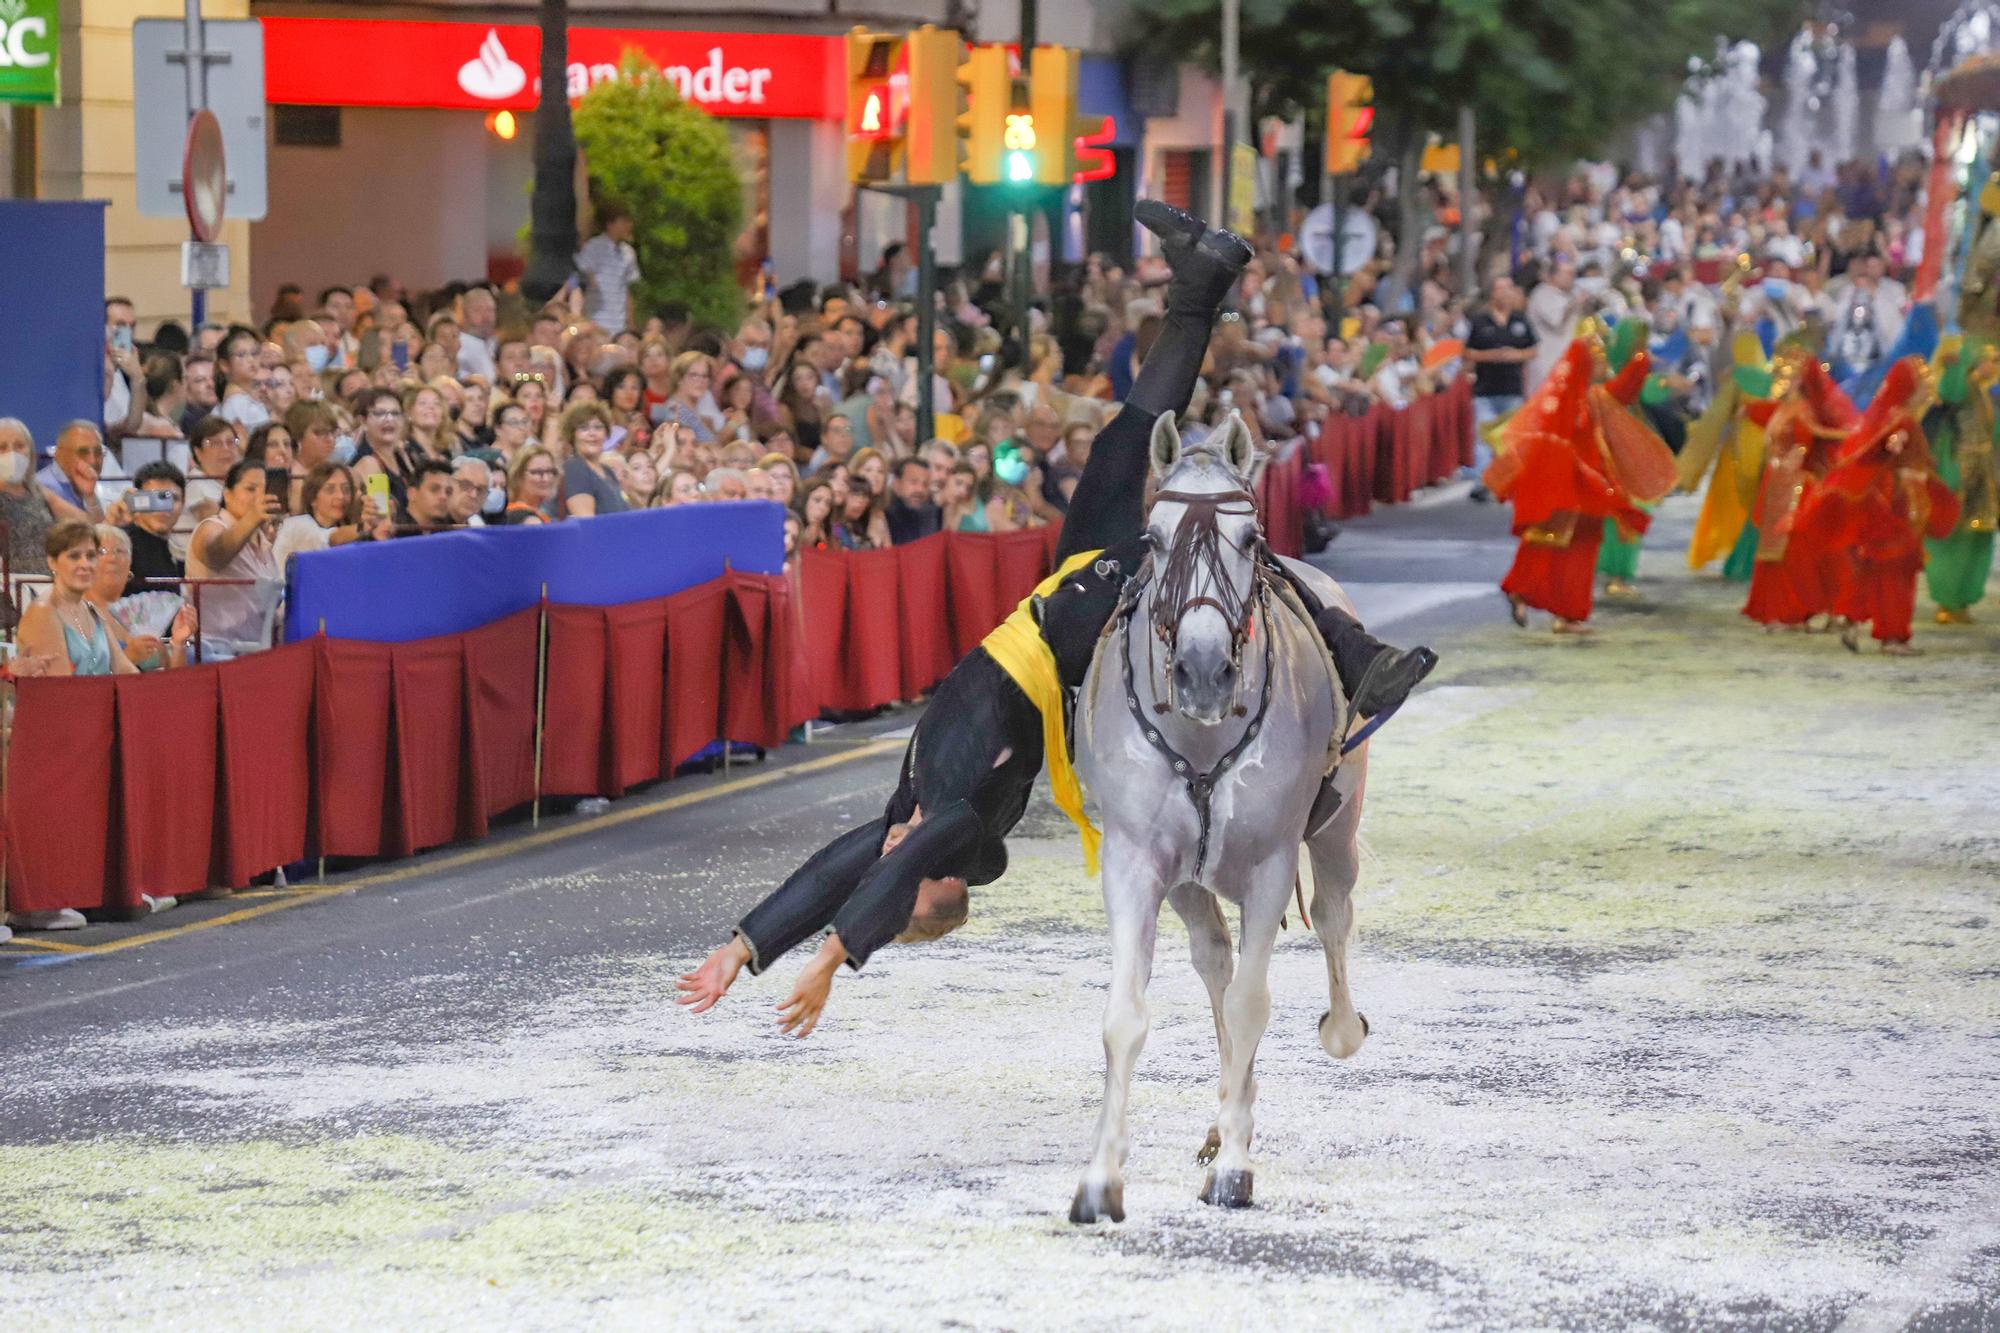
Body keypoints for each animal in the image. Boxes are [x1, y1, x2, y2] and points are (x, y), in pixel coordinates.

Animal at [1072, 410, 1368, 1216]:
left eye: (1248, 538)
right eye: (1155, 537)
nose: (1203, 672)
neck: (1200, 735)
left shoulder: (1269, 866)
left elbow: (1249, 1004)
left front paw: (1234, 1167)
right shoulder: (1135, 862)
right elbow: (1126, 1015)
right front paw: (1101, 1178)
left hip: (1339, 825)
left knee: (1332, 914)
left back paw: (1337, 1031)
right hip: (1187, 881)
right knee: (1215, 959)